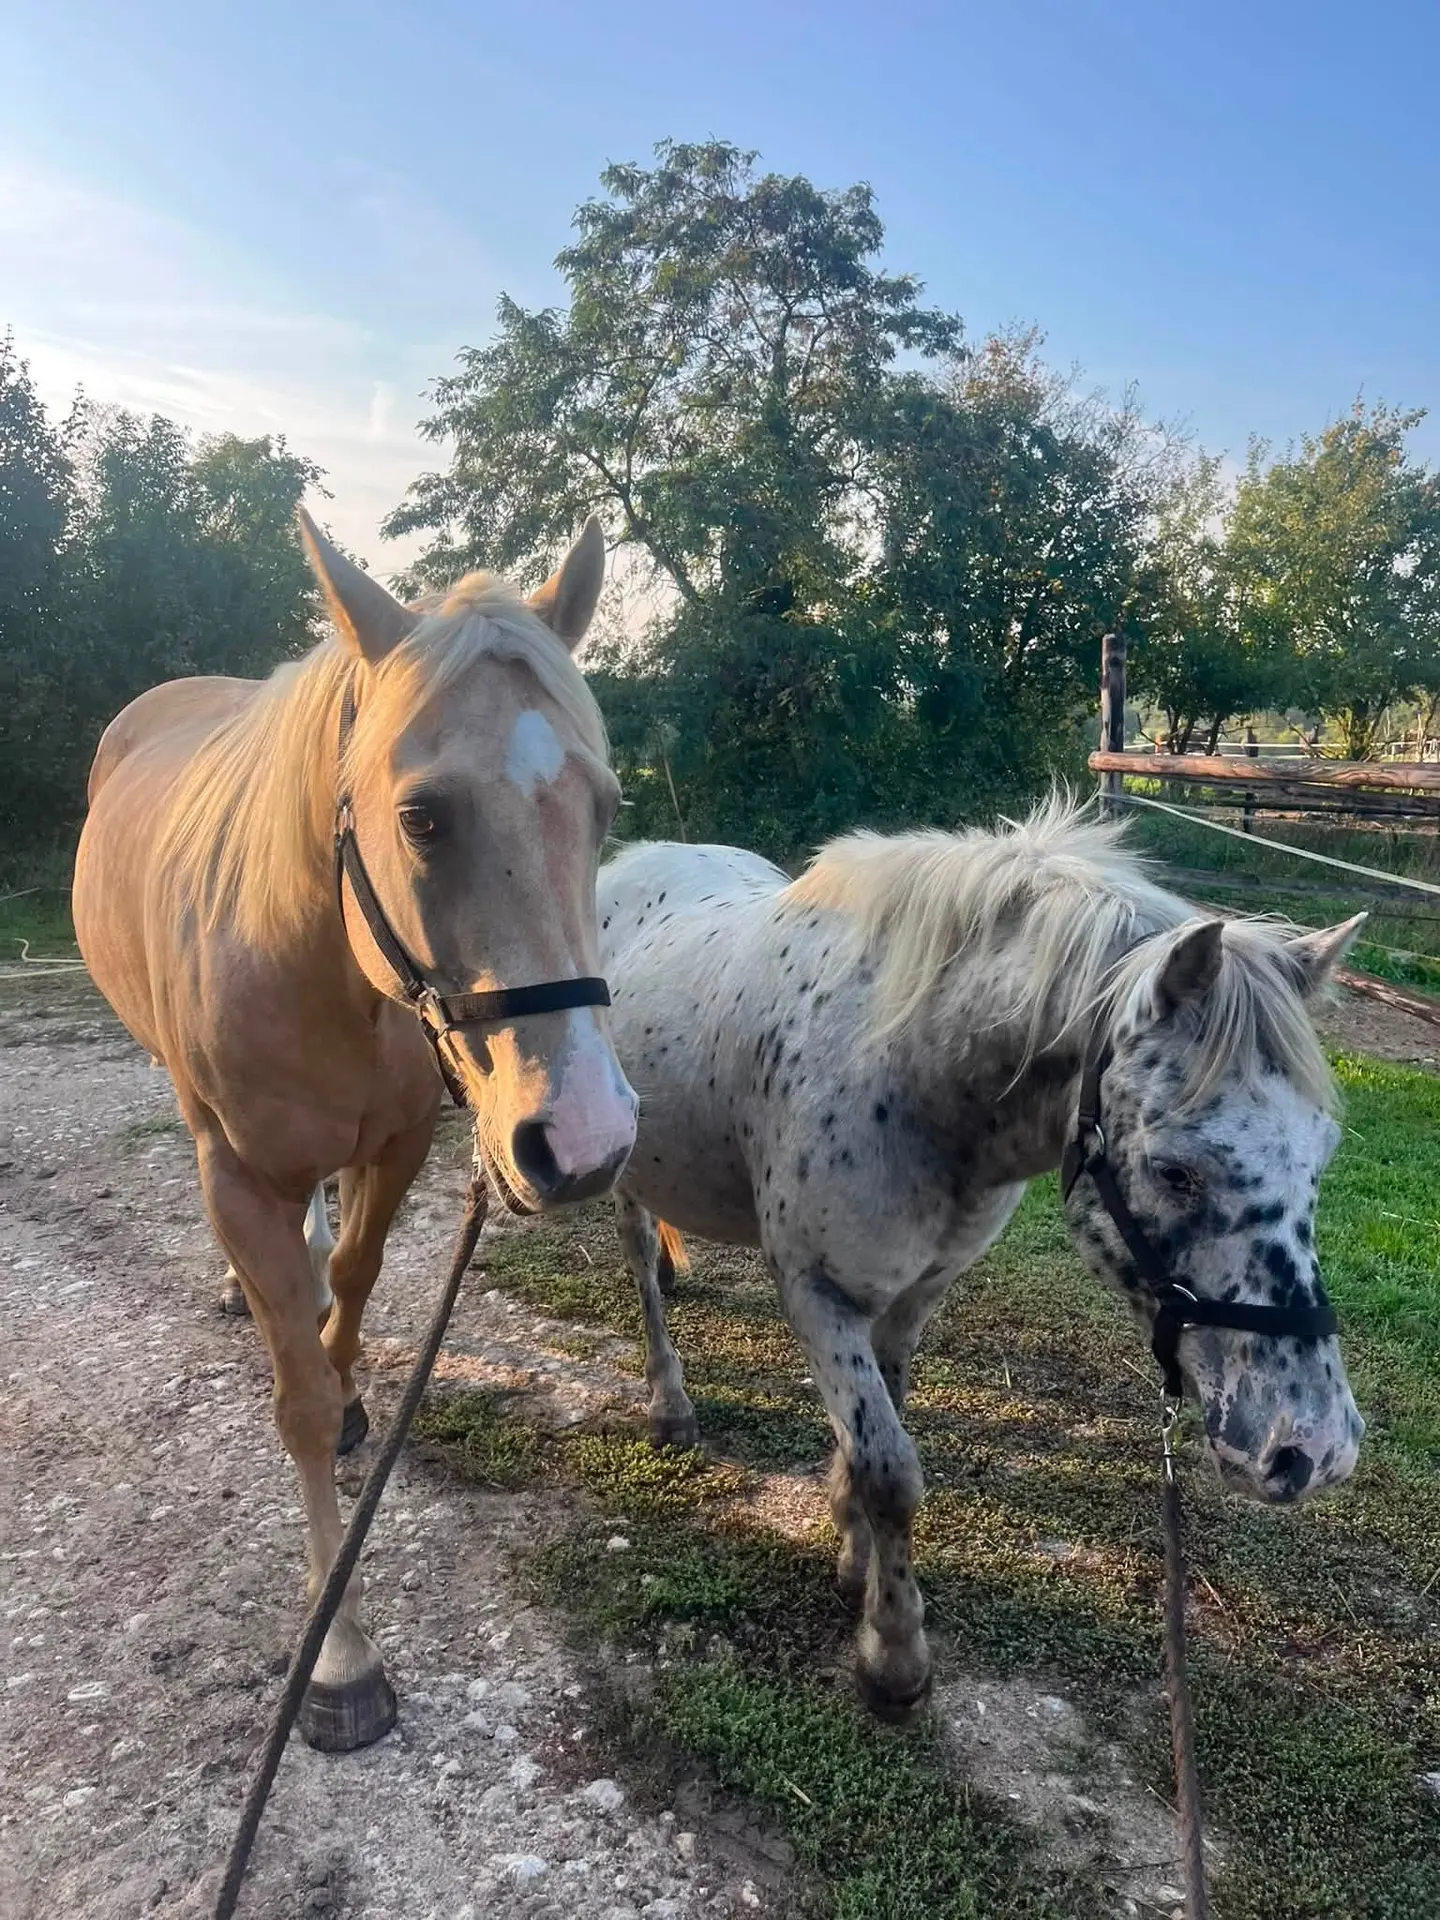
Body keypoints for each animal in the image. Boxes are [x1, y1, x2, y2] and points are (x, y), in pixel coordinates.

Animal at [73, 513, 638, 1750]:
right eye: (421, 817)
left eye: (608, 806)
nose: (584, 1137)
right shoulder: (240, 1180)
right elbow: (293, 1401)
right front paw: (339, 1653)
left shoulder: (399, 1145)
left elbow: (354, 1282)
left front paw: (343, 1379)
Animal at [596, 798, 1366, 1715]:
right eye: (1175, 1171)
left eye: (1323, 1155)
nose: (1310, 1452)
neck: (907, 1072)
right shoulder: (818, 1295)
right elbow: (890, 1470)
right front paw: (894, 1650)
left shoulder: (913, 1294)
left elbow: (876, 1434)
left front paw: (852, 1551)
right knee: (640, 1265)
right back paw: (669, 1403)